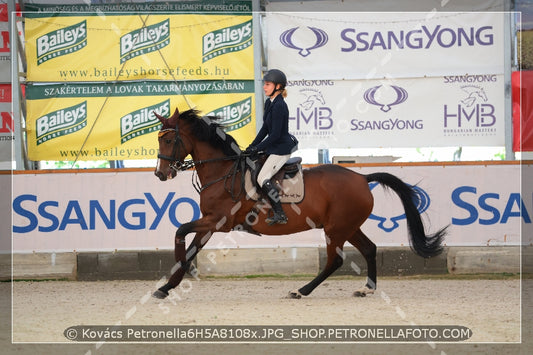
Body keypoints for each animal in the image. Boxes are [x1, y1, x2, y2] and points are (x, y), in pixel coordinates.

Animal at [152, 108, 446, 300]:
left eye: (168, 139)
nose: (160, 174)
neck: (222, 171)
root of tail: (362, 178)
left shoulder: (218, 222)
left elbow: (180, 231)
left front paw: (176, 273)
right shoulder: (210, 223)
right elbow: (190, 246)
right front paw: (168, 285)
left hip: (336, 229)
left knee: (335, 260)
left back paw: (301, 290)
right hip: (347, 226)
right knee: (369, 249)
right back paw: (367, 288)